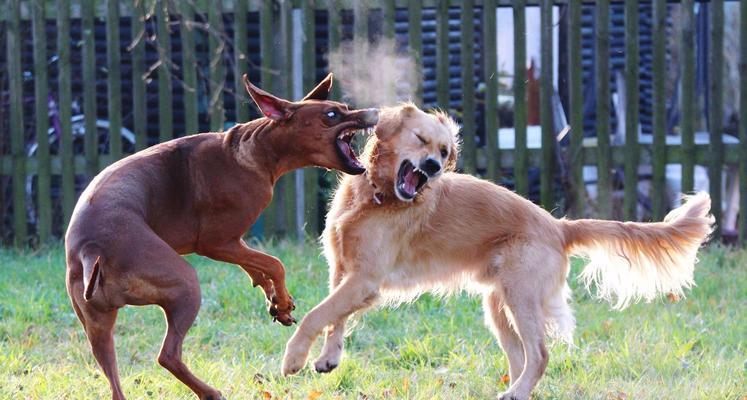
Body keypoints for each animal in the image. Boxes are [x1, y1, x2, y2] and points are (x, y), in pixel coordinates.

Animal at [62, 72, 380, 400]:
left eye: (345, 107)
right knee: (168, 355)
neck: (255, 150)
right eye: (331, 115)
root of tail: (90, 249)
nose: (376, 113)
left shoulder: (233, 243)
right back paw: (211, 392)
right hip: (184, 283)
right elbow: (275, 263)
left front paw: (276, 301)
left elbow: (258, 267)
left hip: (98, 326)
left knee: (114, 376)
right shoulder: (215, 243)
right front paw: (280, 299)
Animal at [280, 104, 712, 400]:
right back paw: (516, 391)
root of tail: (558, 226)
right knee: (521, 357)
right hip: (498, 304)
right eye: (421, 140)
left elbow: (316, 316)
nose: (434, 167)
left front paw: (294, 358)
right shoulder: (345, 272)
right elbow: (334, 319)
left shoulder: (365, 279)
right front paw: (329, 358)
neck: (376, 197)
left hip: (521, 297)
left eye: (444, 150)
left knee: (539, 354)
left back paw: (516, 391)